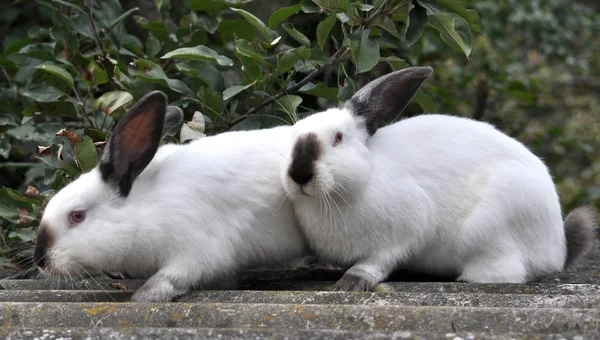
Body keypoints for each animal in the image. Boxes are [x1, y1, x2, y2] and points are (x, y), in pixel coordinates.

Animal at [32, 89, 308, 300]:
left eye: (77, 216)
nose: (40, 261)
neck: (143, 210)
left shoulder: (196, 251)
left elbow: (171, 277)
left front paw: (145, 296)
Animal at [280, 67, 596, 292]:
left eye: (338, 138)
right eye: (293, 135)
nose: (299, 174)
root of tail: (557, 248)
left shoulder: (406, 229)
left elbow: (378, 260)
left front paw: (352, 281)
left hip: (487, 231)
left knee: (507, 272)